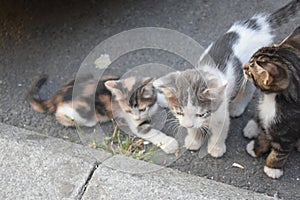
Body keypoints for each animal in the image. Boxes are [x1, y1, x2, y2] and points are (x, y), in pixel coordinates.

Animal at [154, 0, 298, 158]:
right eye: (179, 112)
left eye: (201, 113)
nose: (187, 124)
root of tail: (258, 23)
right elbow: (194, 128)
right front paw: (193, 139)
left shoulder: (221, 112)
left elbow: (220, 131)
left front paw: (216, 148)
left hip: (251, 72)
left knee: (248, 90)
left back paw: (237, 106)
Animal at [244, 26, 300, 178]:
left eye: (250, 69)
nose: (243, 66)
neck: (273, 100)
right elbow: (263, 136)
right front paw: (256, 149)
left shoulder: (288, 133)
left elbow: (280, 152)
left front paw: (272, 168)